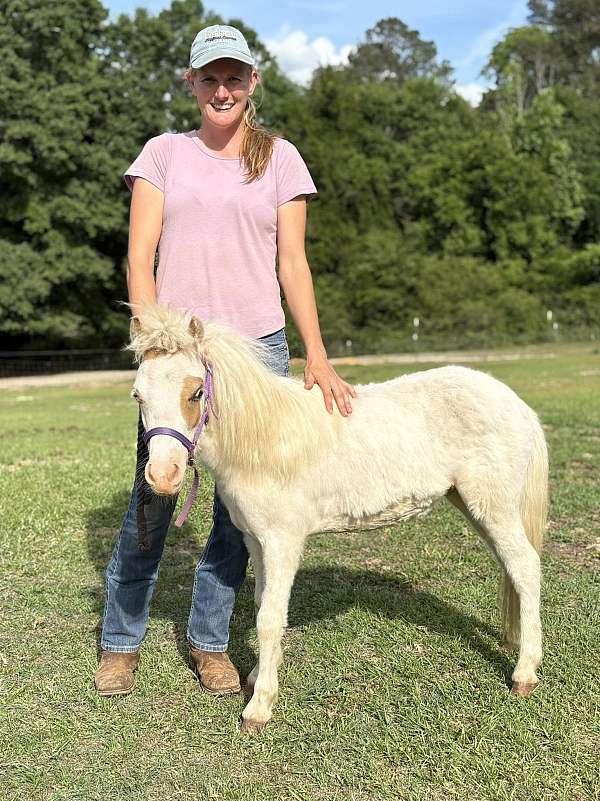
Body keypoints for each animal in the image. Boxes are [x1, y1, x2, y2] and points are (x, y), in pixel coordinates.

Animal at [129, 304, 547, 733]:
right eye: (138, 395)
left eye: (196, 392)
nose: (163, 477)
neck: (264, 441)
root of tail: (515, 403)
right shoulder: (256, 541)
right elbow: (263, 605)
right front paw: (256, 677)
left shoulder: (282, 542)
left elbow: (269, 618)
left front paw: (259, 707)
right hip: (473, 504)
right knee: (513, 568)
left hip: (493, 506)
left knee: (525, 567)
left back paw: (524, 674)